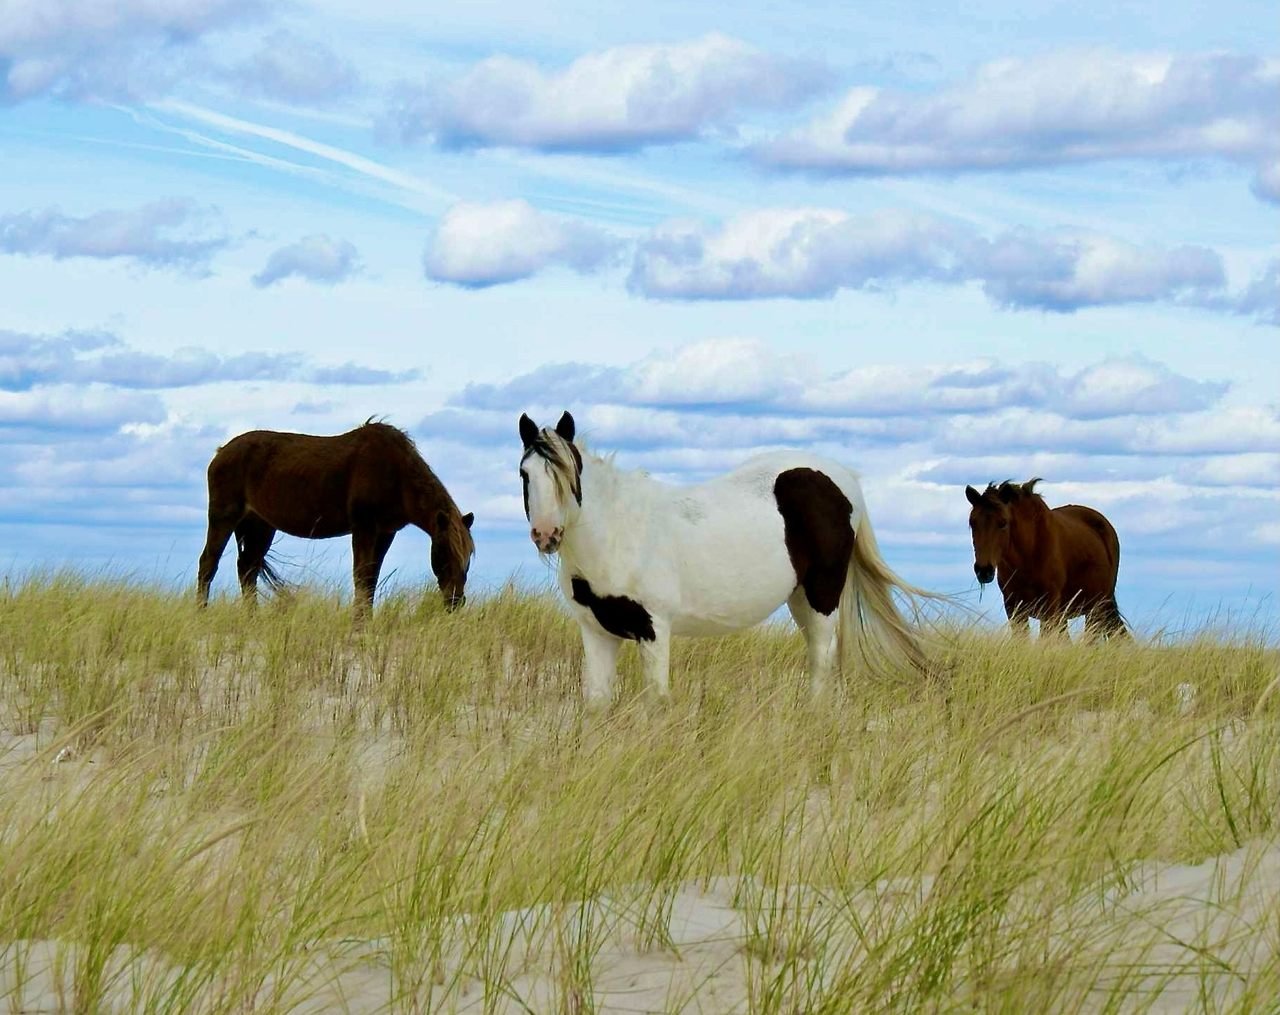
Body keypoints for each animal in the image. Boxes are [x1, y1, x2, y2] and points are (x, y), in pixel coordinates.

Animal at [196, 420, 474, 613]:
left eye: (468, 557)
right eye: (444, 552)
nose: (455, 601)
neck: (396, 474)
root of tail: (221, 452)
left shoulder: (385, 532)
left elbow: (371, 579)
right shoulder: (364, 527)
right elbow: (361, 577)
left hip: (260, 525)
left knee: (247, 569)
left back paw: (252, 618)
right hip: (224, 517)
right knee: (209, 563)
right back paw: (202, 614)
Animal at [518, 410, 936, 707]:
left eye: (568, 475)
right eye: (525, 474)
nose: (546, 535)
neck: (617, 533)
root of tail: (842, 477)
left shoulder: (653, 629)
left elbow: (657, 702)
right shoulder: (597, 631)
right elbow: (597, 704)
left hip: (822, 596)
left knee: (821, 662)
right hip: (799, 598)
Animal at [964, 479, 1127, 639]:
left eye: (1003, 522)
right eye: (972, 522)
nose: (984, 571)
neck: (1029, 556)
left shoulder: (1049, 606)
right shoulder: (1013, 606)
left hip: (1096, 607)